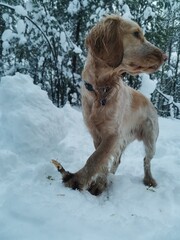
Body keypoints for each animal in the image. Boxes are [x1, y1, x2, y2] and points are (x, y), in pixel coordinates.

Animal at [52, 14, 167, 195]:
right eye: (136, 34)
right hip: (125, 139)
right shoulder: (99, 135)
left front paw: (77, 180)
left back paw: (149, 180)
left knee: (146, 160)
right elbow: (101, 159)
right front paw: (98, 183)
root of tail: (149, 100)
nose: (165, 57)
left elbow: (95, 158)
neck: (101, 90)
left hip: (151, 139)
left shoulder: (113, 133)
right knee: (118, 160)